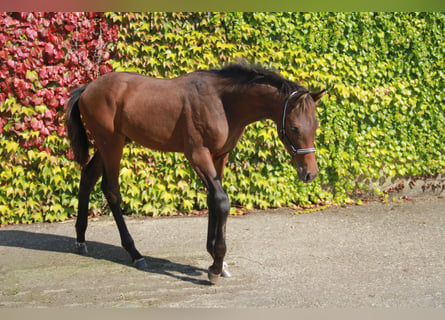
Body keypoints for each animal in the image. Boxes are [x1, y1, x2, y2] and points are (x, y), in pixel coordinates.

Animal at [64, 63, 324, 284]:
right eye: (294, 127)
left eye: (316, 125)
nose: (309, 173)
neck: (222, 103)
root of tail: (87, 89)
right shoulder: (198, 154)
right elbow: (221, 201)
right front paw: (216, 265)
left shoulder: (220, 156)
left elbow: (213, 200)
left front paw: (215, 259)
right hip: (112, 145)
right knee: (111, 191)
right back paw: (135, 253)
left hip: (107, 145)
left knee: (87, 178)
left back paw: (80, 240)